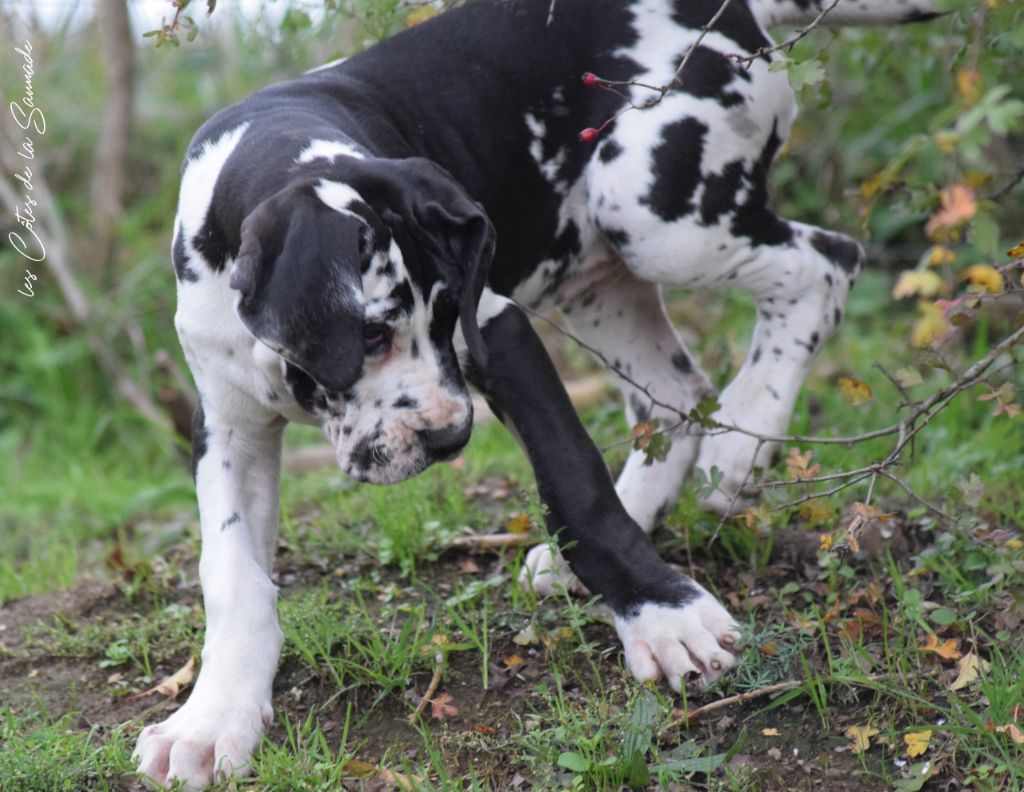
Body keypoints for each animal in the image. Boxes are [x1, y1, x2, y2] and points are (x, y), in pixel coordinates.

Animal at [134, 0, 939, 786]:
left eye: (445, 315)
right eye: (372, 334)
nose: (449, 438)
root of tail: (731, 9)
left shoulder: (496, 329)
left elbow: (574, 481)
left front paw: (667, 619)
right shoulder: (228, 428)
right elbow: (232, 574)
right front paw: (211, 720)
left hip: (652, 215)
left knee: (825, 262)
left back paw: (748, 429)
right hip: (595, 276)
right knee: (674, 395)